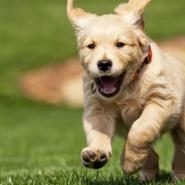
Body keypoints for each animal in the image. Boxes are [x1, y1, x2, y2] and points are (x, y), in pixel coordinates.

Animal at [67, 0, 185, 181]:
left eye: (120, 45)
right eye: (91, 46)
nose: (103, 64)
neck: (126, 87)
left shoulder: (162, 99)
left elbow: (141, 129)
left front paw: (130, 162)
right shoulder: (98, 109)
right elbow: (98, 132)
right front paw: (96, 153)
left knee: (181, 147)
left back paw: (179, 176)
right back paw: (148, 174)